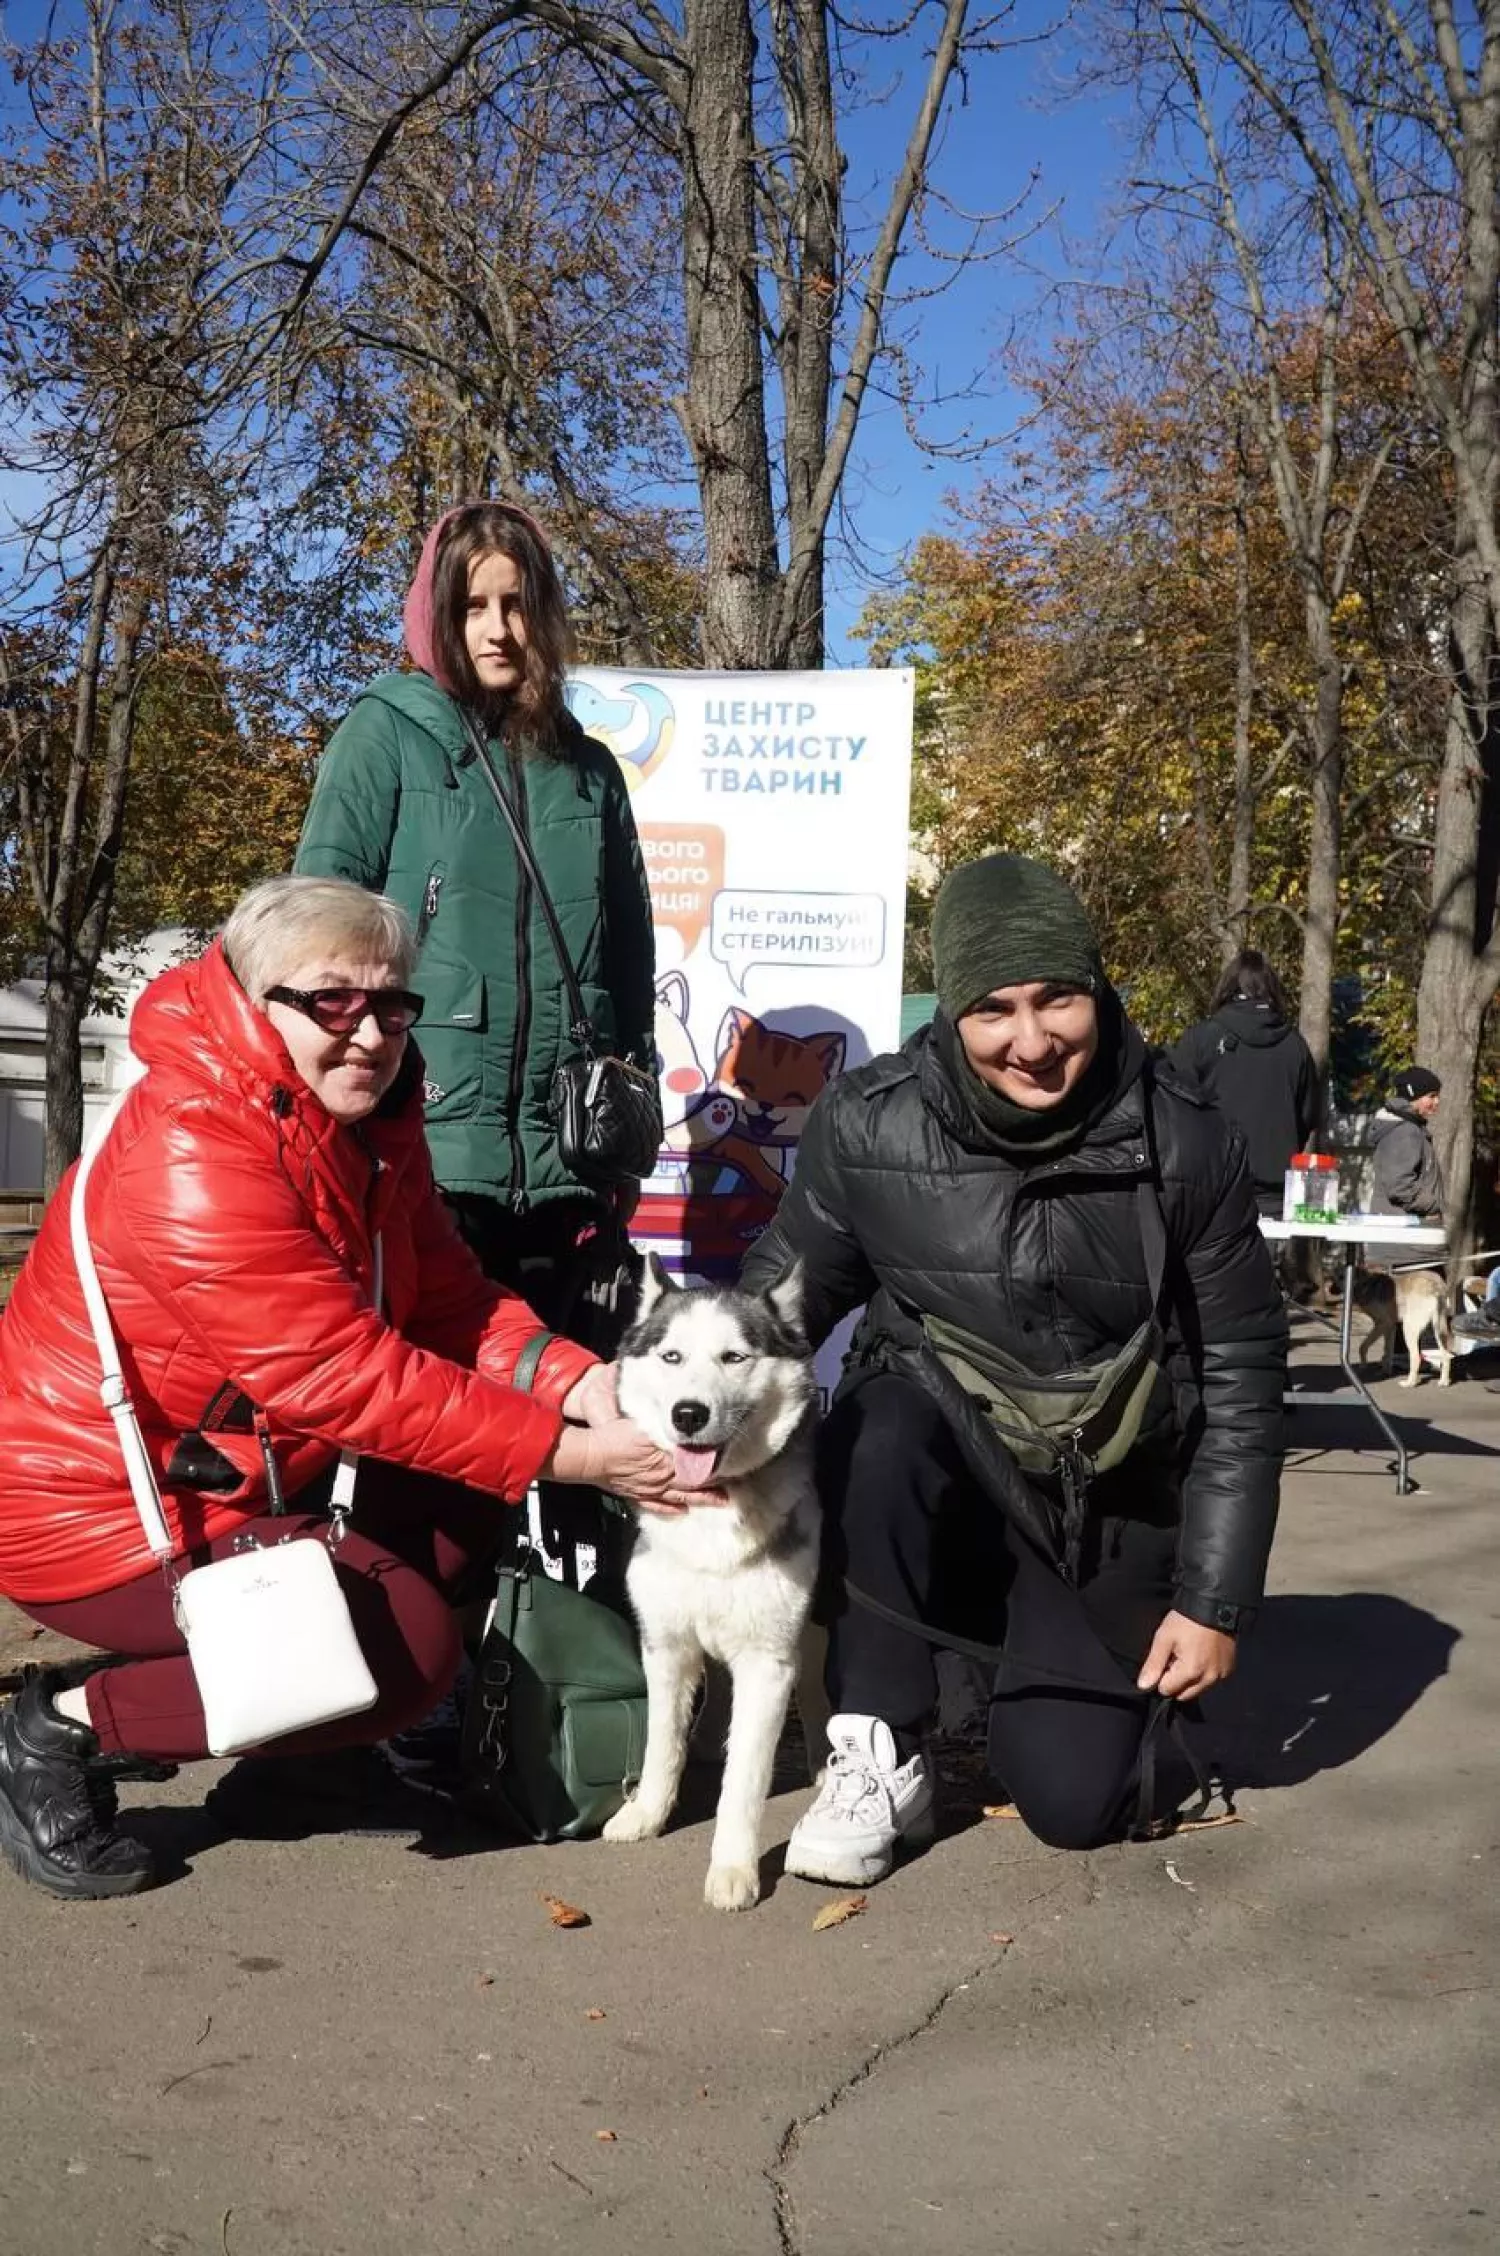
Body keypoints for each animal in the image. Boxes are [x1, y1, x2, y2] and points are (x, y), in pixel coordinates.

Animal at [604, 1263, 821, 1913]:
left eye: (734, 1356)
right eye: (672, 1356)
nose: (689, 1414)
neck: (711, 1514)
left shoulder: (770, 1662)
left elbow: (744, 1780)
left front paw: (733, 1868)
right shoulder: (664, 1645)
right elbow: (660, 1743)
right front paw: (646, 1813)